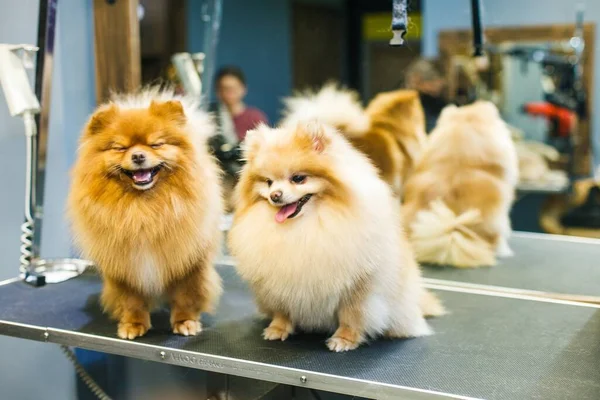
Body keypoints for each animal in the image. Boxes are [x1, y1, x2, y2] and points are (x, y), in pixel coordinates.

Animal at [68, 89, 223, 340]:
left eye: (156, 144)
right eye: (120, 148)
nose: (138, 156)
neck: (143, 210)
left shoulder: (189, 262)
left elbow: (186, 296)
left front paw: (185, 321)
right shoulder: (125, 267)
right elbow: (132, 301)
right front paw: (133, 324)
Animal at [227, 120, 442, 352]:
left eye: (298, 178)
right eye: (268, 182)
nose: (275, 196)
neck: (305, 226)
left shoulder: (358, 286)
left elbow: (352, 315)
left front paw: (344, 339)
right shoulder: (278, 283)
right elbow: (282, 309)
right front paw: (278, 328)